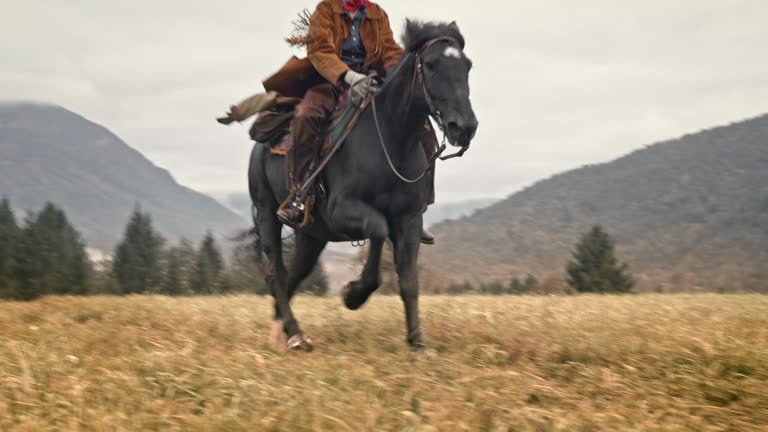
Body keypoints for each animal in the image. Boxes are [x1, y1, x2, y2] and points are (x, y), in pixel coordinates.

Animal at [249, 20, 476, 352]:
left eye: (467, 66)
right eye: (432, 65)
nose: (465, 127)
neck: (392, 140)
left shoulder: (409, 219)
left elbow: (409, 280)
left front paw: (417, 343)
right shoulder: (343, 210)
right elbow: (378, 230)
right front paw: (353, 295)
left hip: (312, 235)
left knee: (295, 274)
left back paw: (282, 333)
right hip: (267, 213)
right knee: (275, 274)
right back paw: (296, 335)